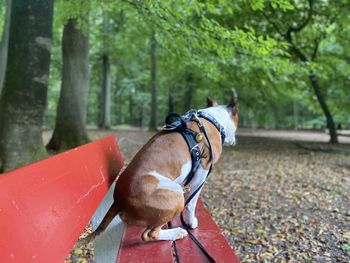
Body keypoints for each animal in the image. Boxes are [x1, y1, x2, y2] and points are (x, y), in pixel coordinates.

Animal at [80, 93, 238, 245]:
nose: (235, 141)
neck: (212, 120)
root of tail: (119, 200)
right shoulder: (203, 169)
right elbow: (192, 202)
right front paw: (190, 221)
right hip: (176, 195)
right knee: (149, 234)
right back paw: (176, 233)